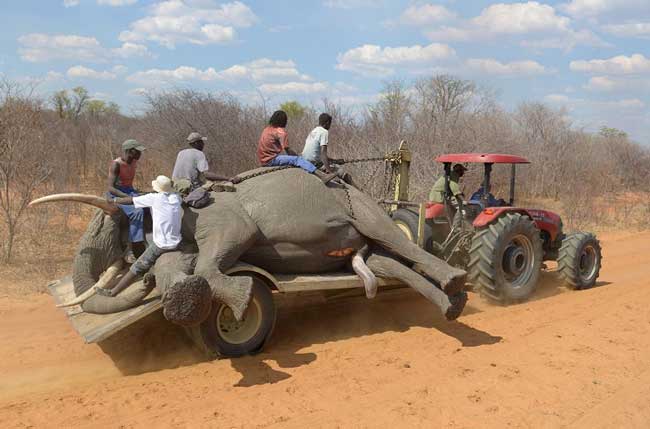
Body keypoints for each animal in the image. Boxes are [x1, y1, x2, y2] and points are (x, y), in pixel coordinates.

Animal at [31, 166, 466, 328]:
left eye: (113, 224)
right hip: (358, 244)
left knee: (393, 239)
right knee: (384, 262)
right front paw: (183, 299)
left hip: (360, 205)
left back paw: (456, 280)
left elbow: (225, 245)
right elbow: (176, 264)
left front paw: (239, 303)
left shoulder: (217, 216)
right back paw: (452, 305)